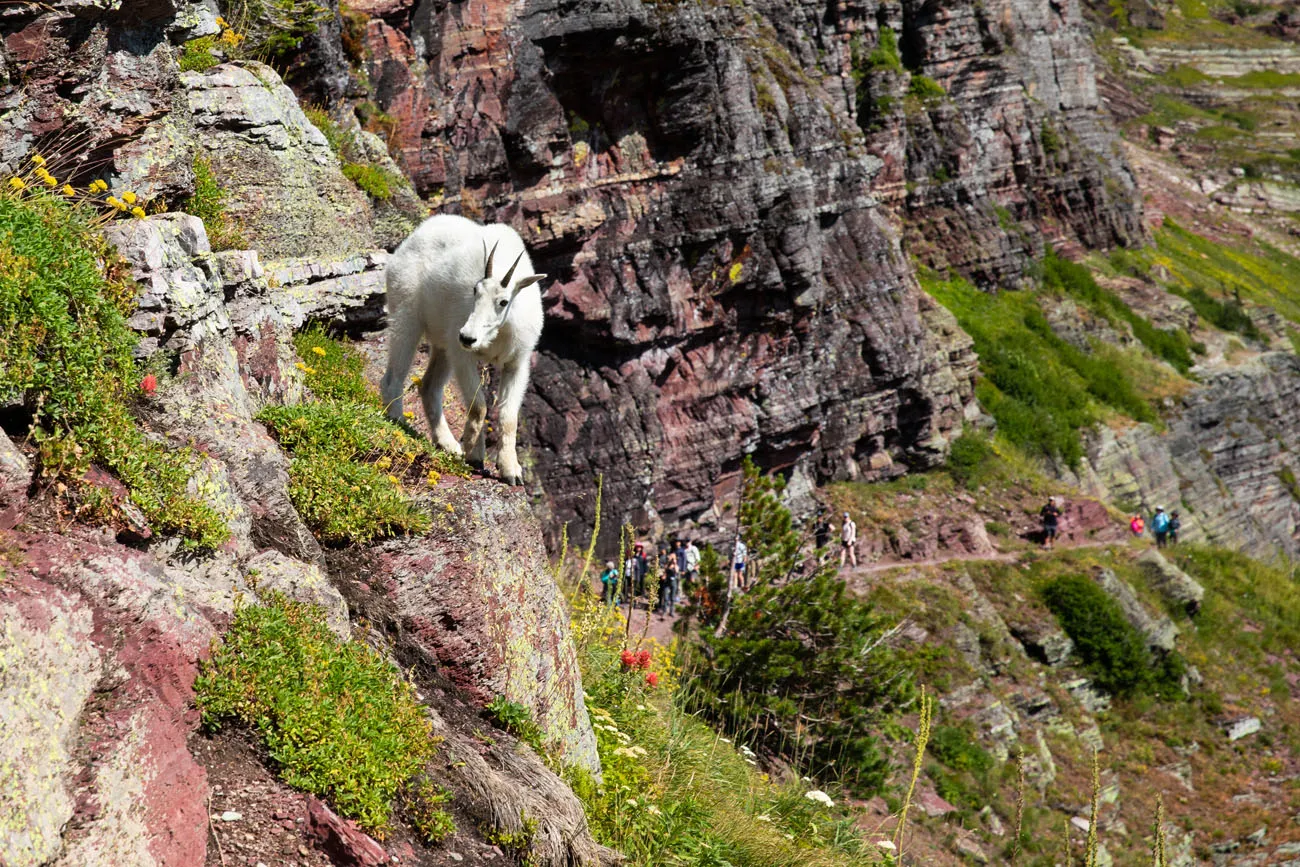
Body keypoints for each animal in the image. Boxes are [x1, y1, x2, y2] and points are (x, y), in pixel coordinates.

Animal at [382, 213, 551, 486]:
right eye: (475, 290)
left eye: (503, 301)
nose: (467, 337)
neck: (497, 334)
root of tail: (414, 236)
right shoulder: (463, 356)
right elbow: (478, 406)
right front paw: (473, 453)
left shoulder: (517, 363)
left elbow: (508, 416)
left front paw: (511, 470)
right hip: (407, 316)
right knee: (392, 377)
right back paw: (398, 421)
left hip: (442, 343)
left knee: (429, 386)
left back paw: (448, 444)